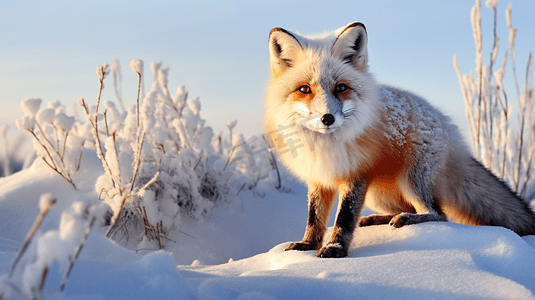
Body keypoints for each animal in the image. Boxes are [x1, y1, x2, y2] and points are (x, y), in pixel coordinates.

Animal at [262, 22, 535, 258]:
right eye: (304, 89)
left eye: (340, 88)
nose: (327, 118)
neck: (326, 147)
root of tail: (448, 128)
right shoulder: (320, 177)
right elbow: (314, 217)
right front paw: (308, 244)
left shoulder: (355, 175)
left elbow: (344, 218)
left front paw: (335, 249)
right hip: (378, 193)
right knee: (410, 208)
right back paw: (380, 219)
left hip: (410, 180)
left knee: (438, 213)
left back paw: (407, 219)